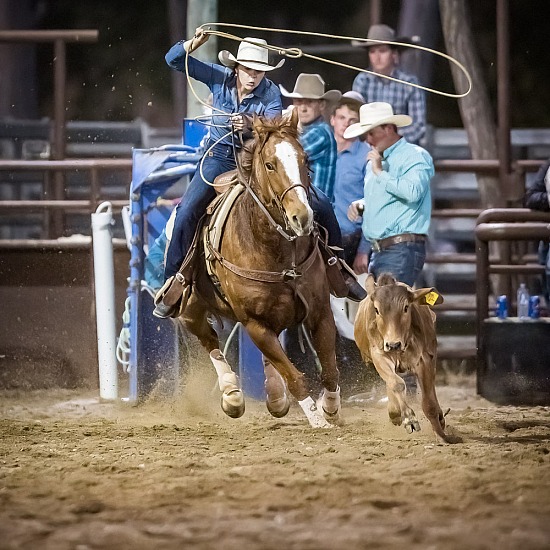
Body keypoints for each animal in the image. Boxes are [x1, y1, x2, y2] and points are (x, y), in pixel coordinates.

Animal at [182, 110, 340, 430]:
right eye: (270, 164)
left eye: (305, 159)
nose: (302, 217)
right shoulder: (254, 323)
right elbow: (294, 376)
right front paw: (318, 421)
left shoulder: (320, 311)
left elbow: (329, 369)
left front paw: (329, 407)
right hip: (190, 309)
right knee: (209, 339)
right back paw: (232, 395)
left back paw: (275, 397)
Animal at [358, 274, 458, 446]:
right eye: (376, 309)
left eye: (406, 307)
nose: (393, 344)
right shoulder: (380, 355)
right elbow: (396, 383)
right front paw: (408, 418)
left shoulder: (424, 360)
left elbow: (429, 403)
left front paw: (441, 436)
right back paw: (395, 412)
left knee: (432, 388)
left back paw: (440, 418)